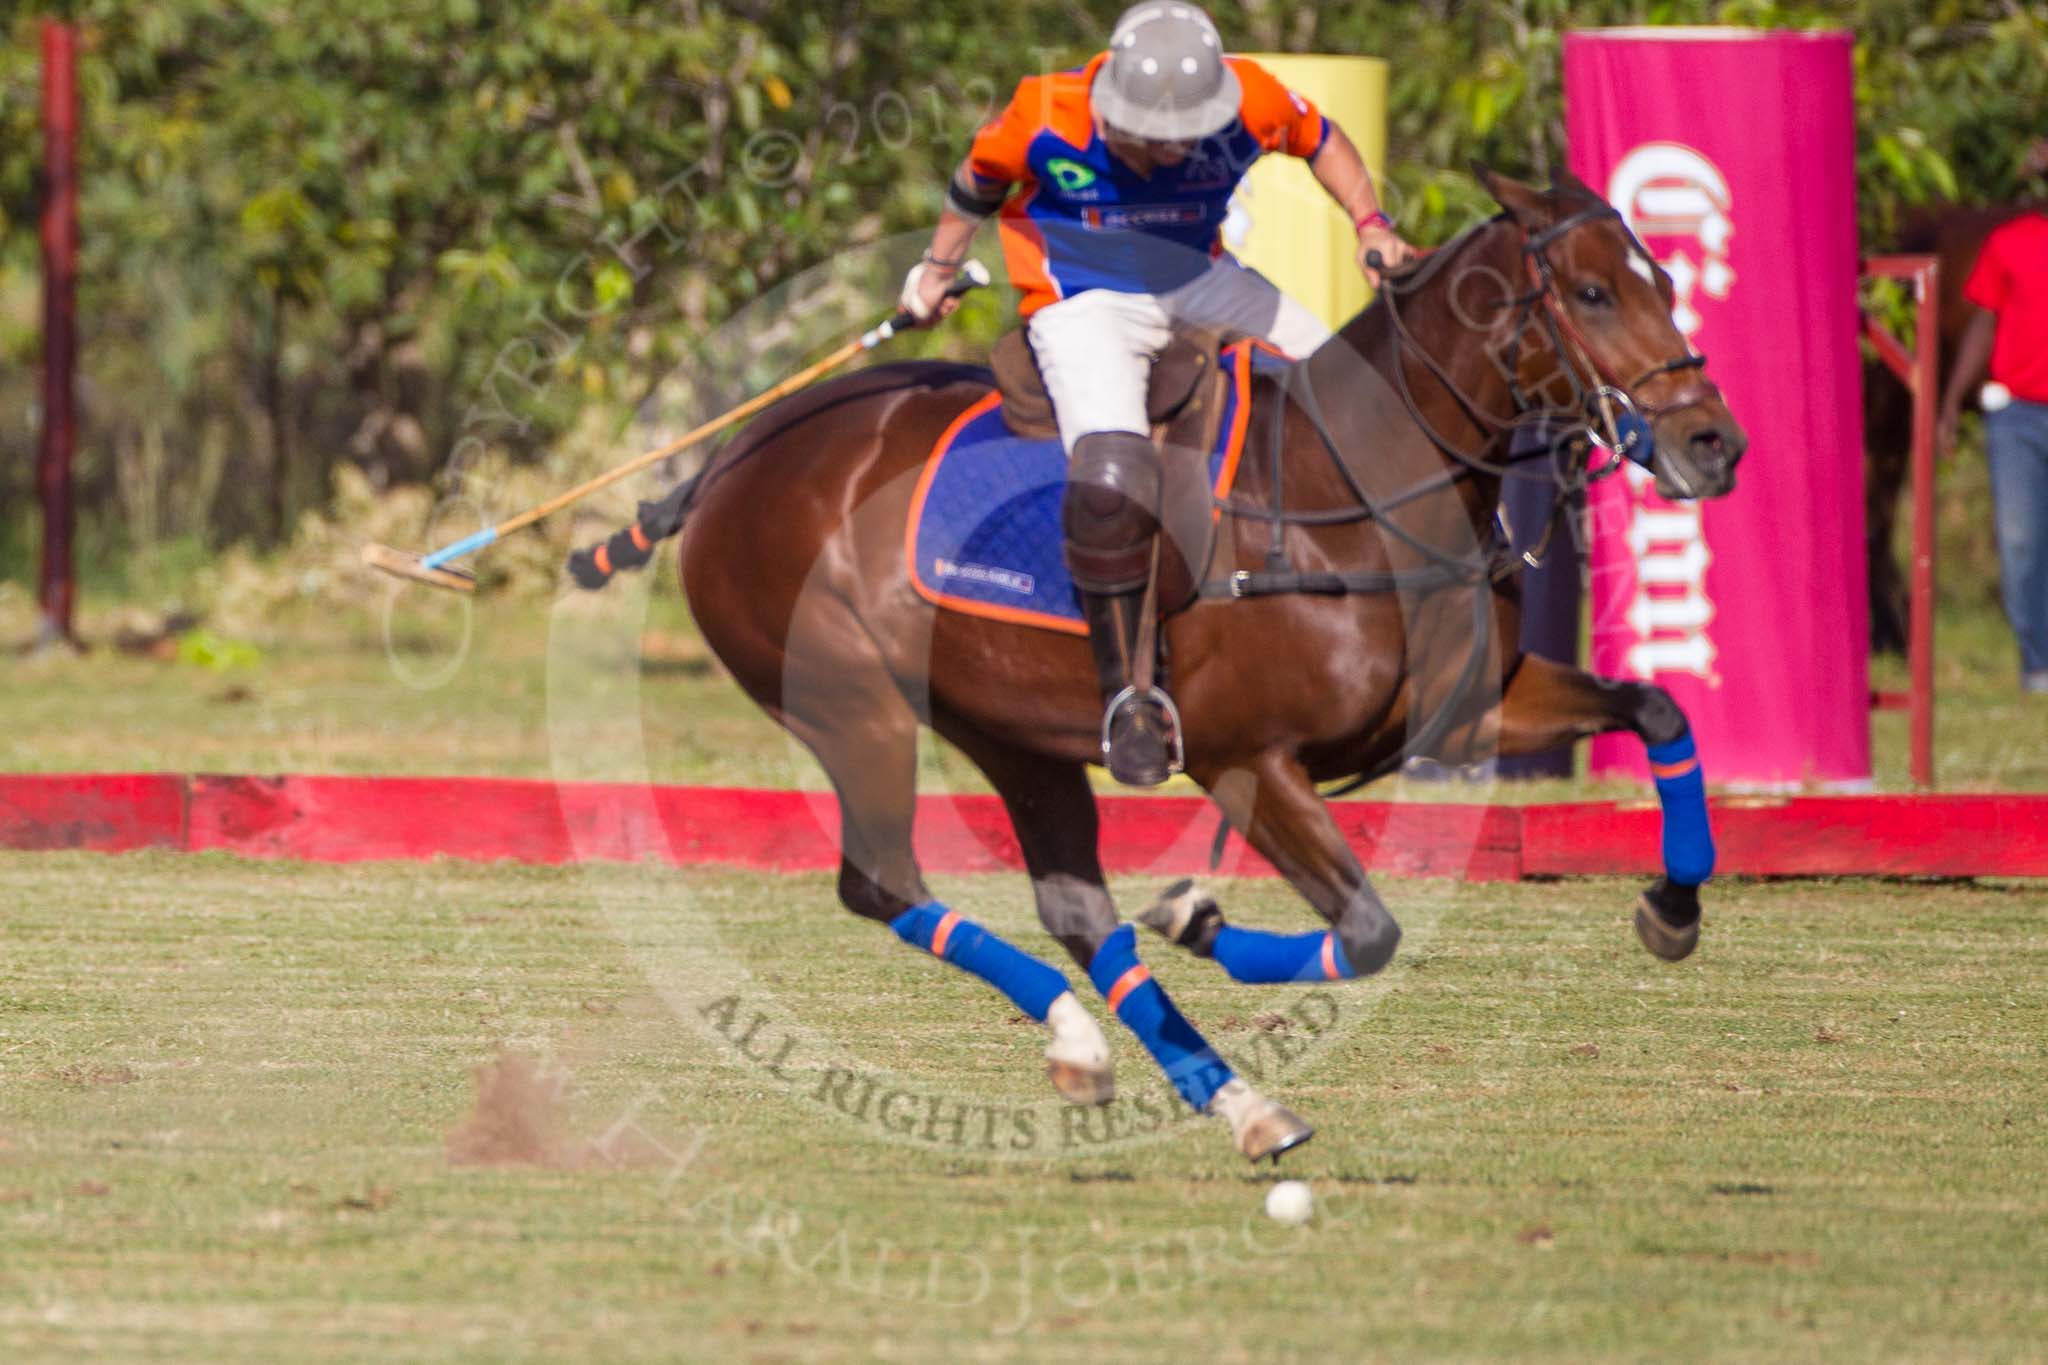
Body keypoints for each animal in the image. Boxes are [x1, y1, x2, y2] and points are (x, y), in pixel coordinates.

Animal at [643, 167, 1744, 1154]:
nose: (1713, 443)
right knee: (882, 883)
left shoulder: (1475, 709)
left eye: (1664, 278)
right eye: (1592, 293)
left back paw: (1180, 1081)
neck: (1357, 486)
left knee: (1071, 906)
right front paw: (1196, 918)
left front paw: (1673, 908)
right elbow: (1369, 930)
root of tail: (728, 458)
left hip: (1005, 728)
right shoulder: (1243, 759)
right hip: (850, 705)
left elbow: (1656, 710)